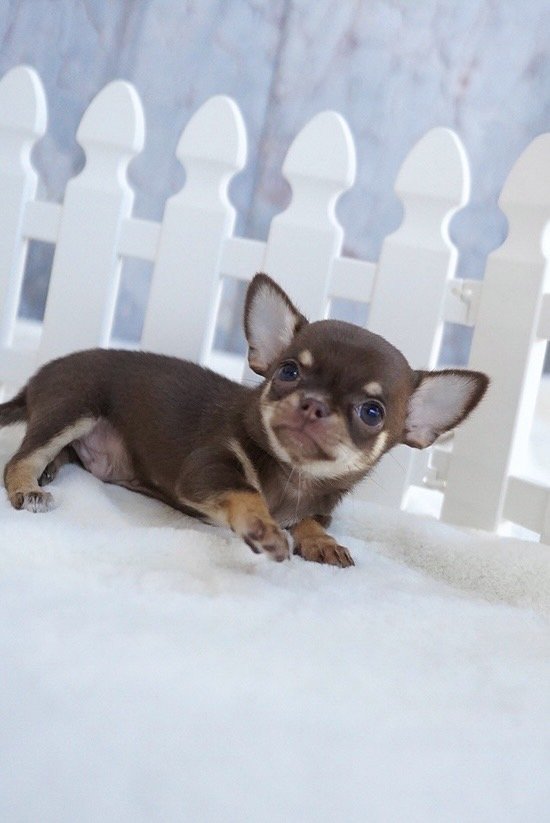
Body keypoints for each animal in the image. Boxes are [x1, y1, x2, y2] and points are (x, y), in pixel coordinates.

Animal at [0, 273, 488, 567]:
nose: (313, 404)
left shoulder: (321, 505)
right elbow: (247, 492)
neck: (295, 477)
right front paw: (265, 527)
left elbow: (311, 520)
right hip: (72, 406)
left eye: (372, 412)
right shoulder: (208, 468)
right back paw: (30, 486)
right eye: (288, 372)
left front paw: (322, 541)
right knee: (20, 459)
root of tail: (37, 376)